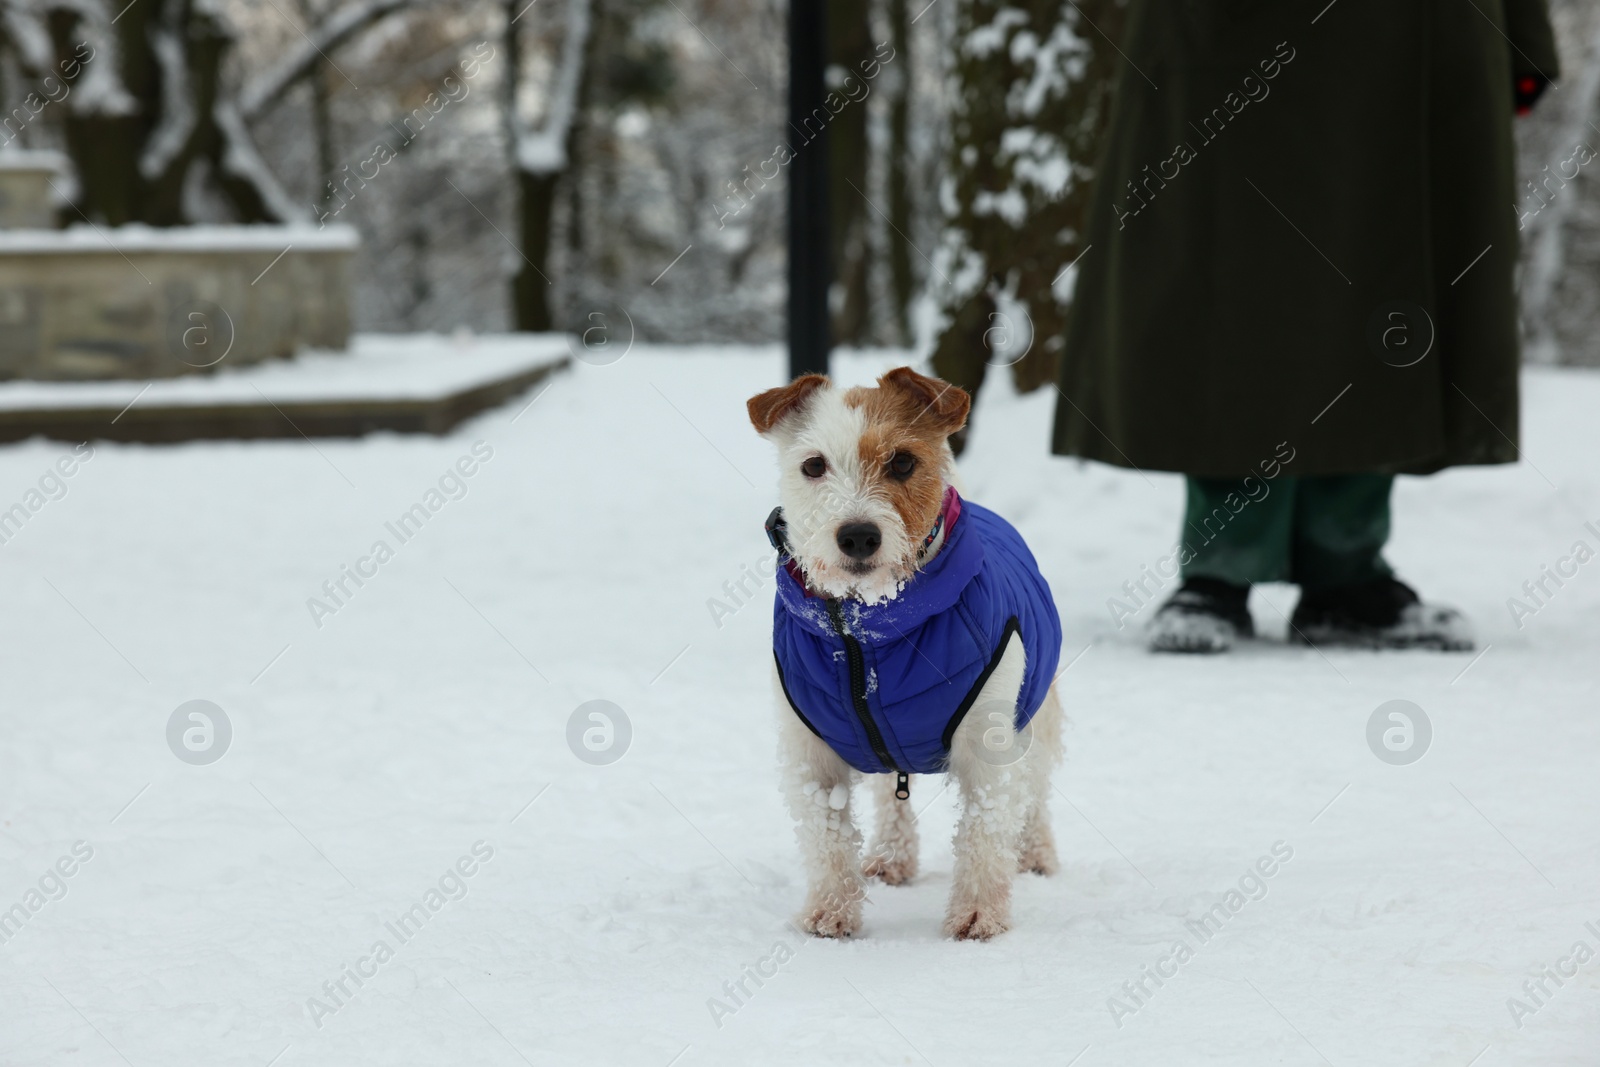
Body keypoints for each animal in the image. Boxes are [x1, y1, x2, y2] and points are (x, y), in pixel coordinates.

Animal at [745, 369, 1062, 940]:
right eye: (813, 465)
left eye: (903, 462)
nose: (857, 535)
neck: (864, 635)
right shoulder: (811, 753)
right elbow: (827, 838)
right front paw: (831, 911)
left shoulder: (988, 744)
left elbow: (984, 830)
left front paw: (978, 914)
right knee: (890, 796)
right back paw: (891, 857)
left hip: (1038, 716)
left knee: (1035, 791)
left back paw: (1036, 854)